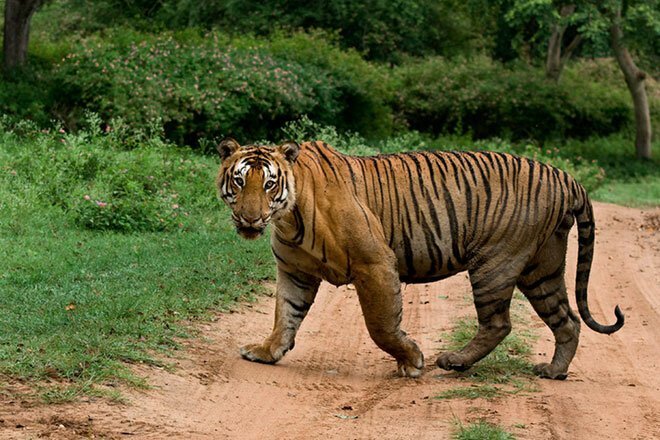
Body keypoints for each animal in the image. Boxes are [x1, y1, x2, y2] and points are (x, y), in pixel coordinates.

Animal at [215, 139, 624, 380]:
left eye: (269, 184)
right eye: (239, 182)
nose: (250, 219)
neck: (288, 216)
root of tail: (567, 177)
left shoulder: (375, 263)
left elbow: (380, 325)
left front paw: (411, 361)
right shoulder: (295, 271)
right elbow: (285, 314)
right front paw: (268, 352)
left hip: (496, 262)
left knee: (498, 323)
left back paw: (454, 361)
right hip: (542, 269)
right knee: (567, 320)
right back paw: (553, 371)